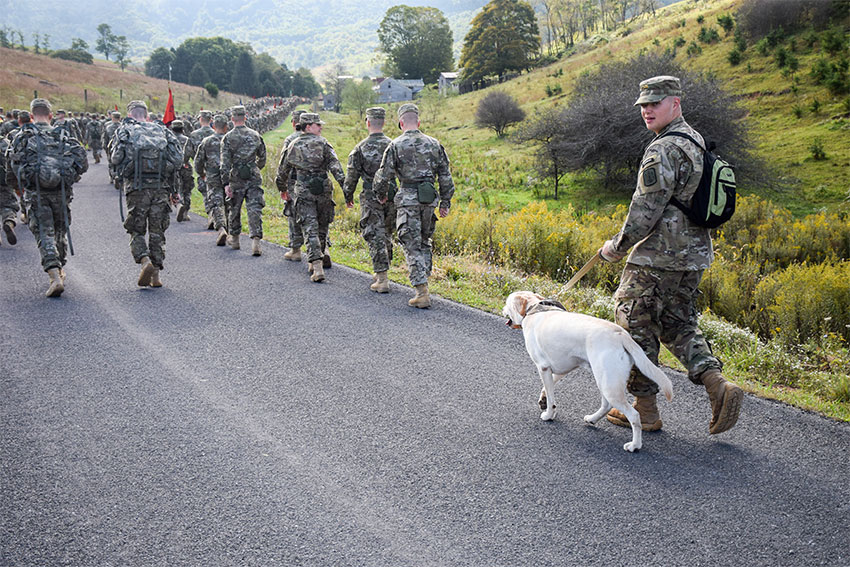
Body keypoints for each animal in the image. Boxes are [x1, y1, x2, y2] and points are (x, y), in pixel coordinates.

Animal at [500, 292, 672, 452]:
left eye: (507, 303)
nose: (502, 309)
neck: (533, 309)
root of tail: (620, 334)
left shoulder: (543, 367)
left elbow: (550, 395)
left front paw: (548, 415)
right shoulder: (564, 367)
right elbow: (548, 388)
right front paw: (544, 401)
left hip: (609, 386)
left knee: (634, 415)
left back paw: (634, 445)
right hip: (604, 380)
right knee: (606, 405)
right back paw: (592, 419)